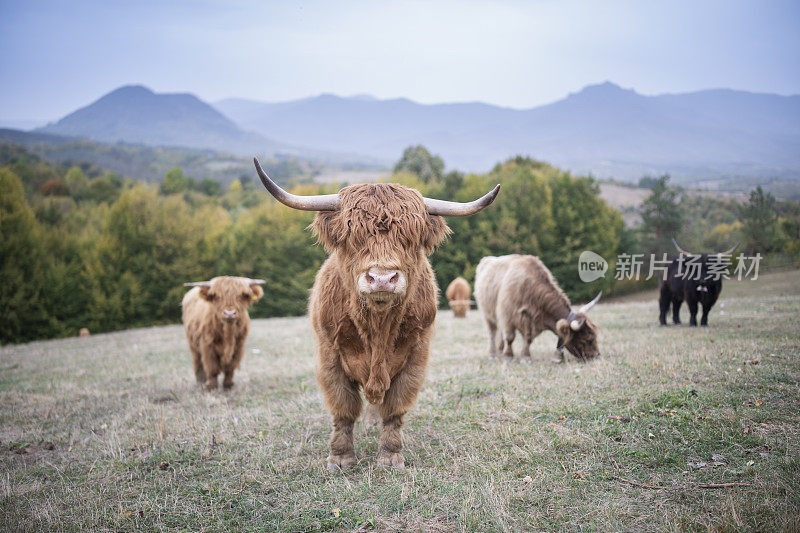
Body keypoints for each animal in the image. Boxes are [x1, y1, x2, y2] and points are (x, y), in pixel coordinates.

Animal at [253, 158, 500, 470]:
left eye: (409, 238)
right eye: (352, 236)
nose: (382, 278)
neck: (377, 328)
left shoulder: (416, 357)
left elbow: (395, 407)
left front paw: (390, 455)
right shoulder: (329, 357)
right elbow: (343, 407)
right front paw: (340, 457)